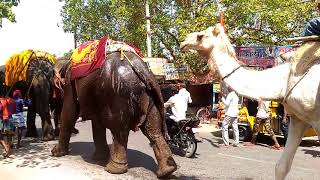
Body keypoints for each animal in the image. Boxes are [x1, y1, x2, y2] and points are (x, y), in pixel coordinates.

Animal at [51, 50, 179, 177]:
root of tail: (143, 69)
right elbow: (96, 122)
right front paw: (99, 158)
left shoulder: (70, 83)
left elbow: (69, 111)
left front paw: (56, 153)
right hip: (150, 96)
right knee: (152, 130)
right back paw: (167, 171)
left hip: (118, 95)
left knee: (119, 131)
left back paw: (113, 169)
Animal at [181, 22, 320, 180]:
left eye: (201, 36)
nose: (183, 42)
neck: (286, 79)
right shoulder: (299, 118)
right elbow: (281, 167)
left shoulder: (316, 120)